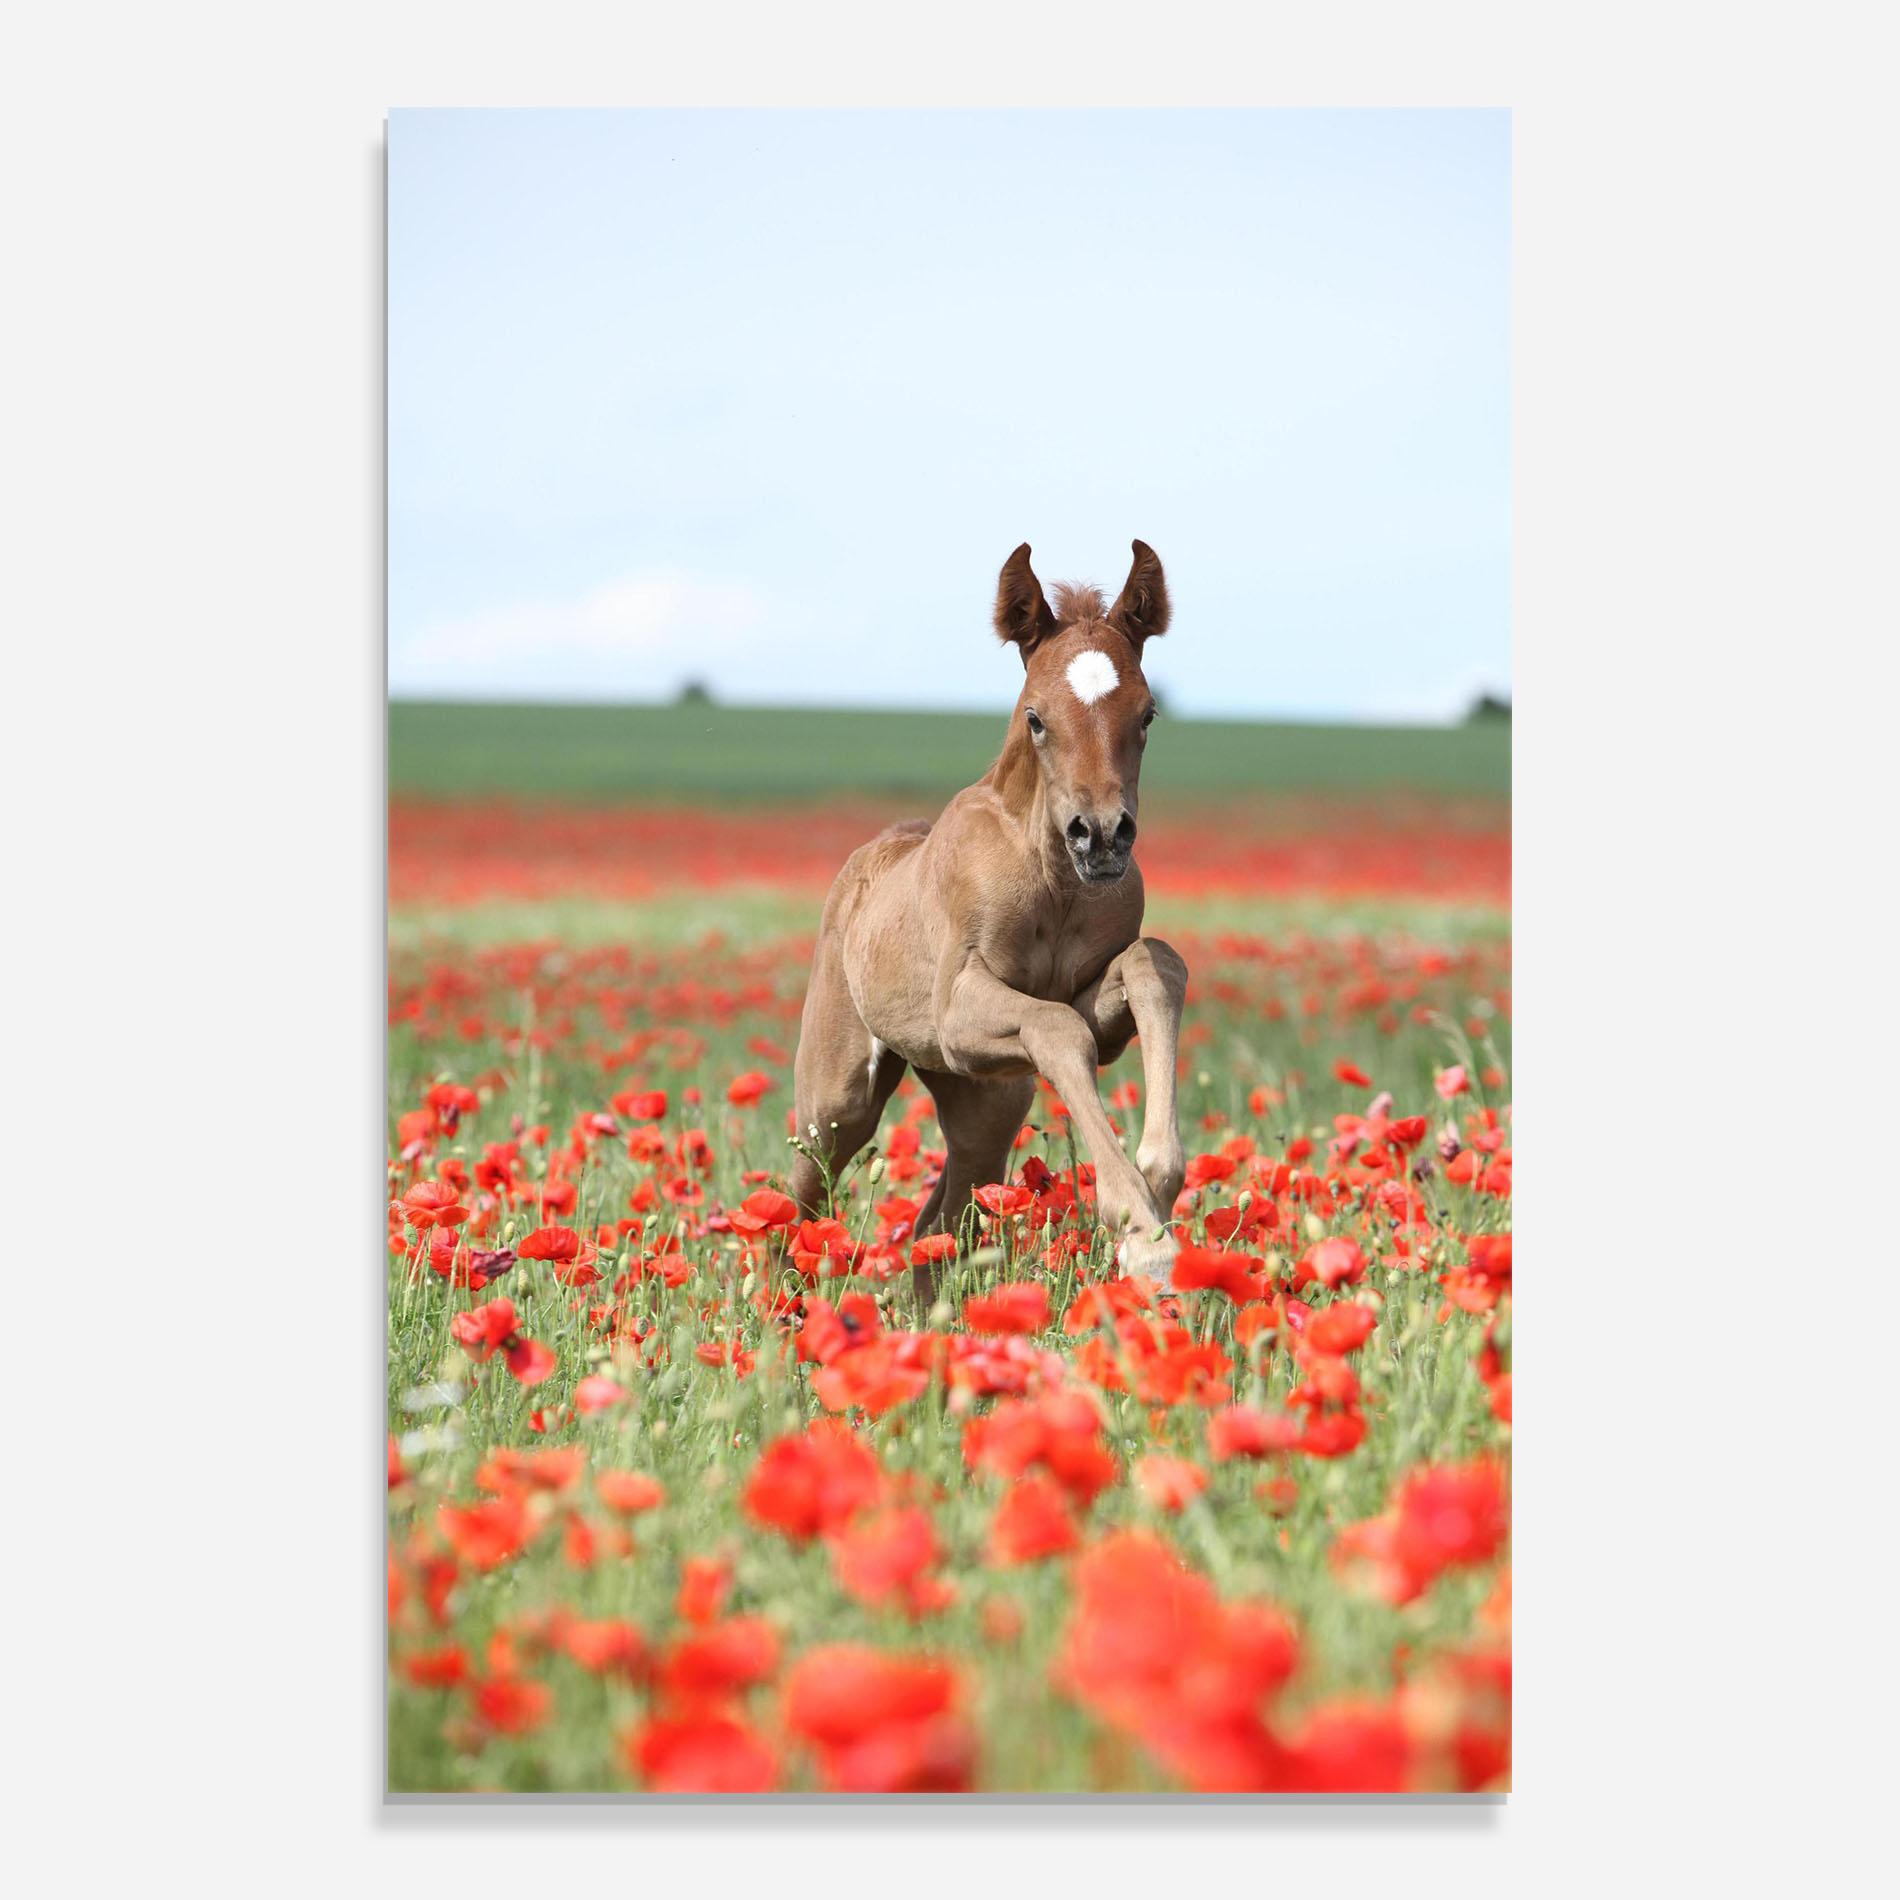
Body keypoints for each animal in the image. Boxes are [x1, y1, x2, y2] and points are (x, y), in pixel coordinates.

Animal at [789, 539, 1189, 1302]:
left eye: (1148, 715)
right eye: (1036, 717)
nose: (1101, 835)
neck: (1053, 881)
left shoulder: (1090, 1008)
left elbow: (1153, 965)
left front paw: (1159, 1181)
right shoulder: (959, 1011)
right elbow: (1057, 1030)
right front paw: (1142, 1235)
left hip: (985, 1100)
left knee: (939, 1223)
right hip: (840, 1095)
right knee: (800, 1195)